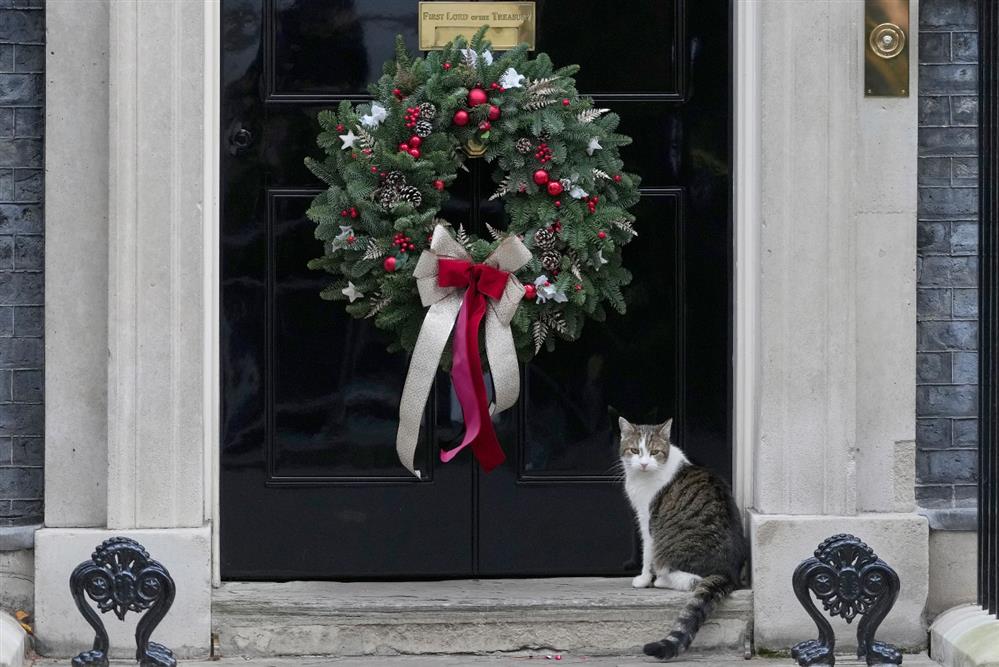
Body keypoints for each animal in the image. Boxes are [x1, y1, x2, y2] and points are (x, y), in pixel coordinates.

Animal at [616, 418, 752, 664]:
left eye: (654, 452)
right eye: (635, 451)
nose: (643, 464)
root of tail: (728, 572)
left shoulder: (647, 520)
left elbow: (646, 553)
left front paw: (643, 579)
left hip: (669, 549)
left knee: (690, 579)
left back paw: (660, 580)